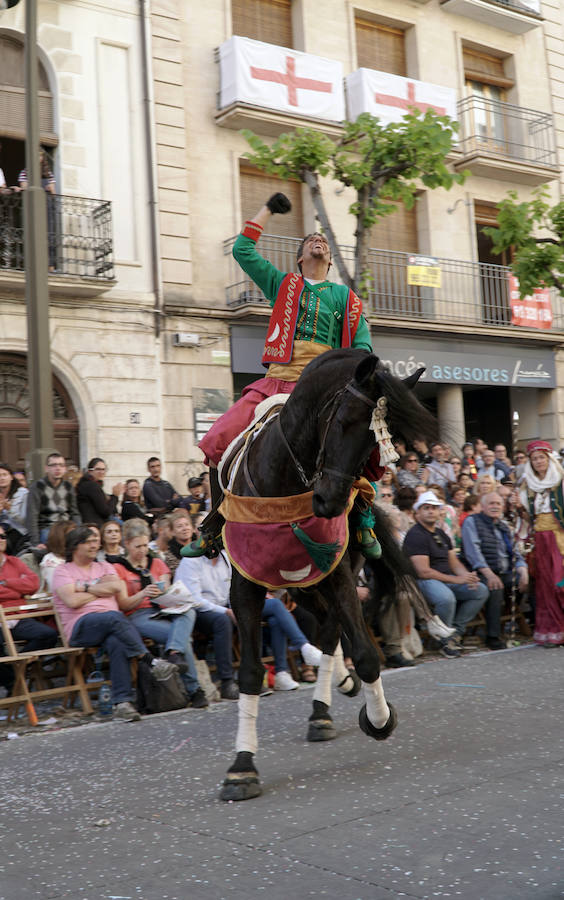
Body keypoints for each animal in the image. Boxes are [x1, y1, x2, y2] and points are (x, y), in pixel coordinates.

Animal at [220, 350, 436, 800]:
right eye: (342, 421)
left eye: (376, 443)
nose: (330, 502)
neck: (284, 481)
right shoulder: (245, 583)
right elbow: (249, 671)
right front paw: (242, 767)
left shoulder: (336, 571)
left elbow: (367, 654)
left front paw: (379, 717)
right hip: (299, 584)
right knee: (325, 628)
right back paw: (335, 686)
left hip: (322, 576)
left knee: (331, 630)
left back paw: (326, 704)